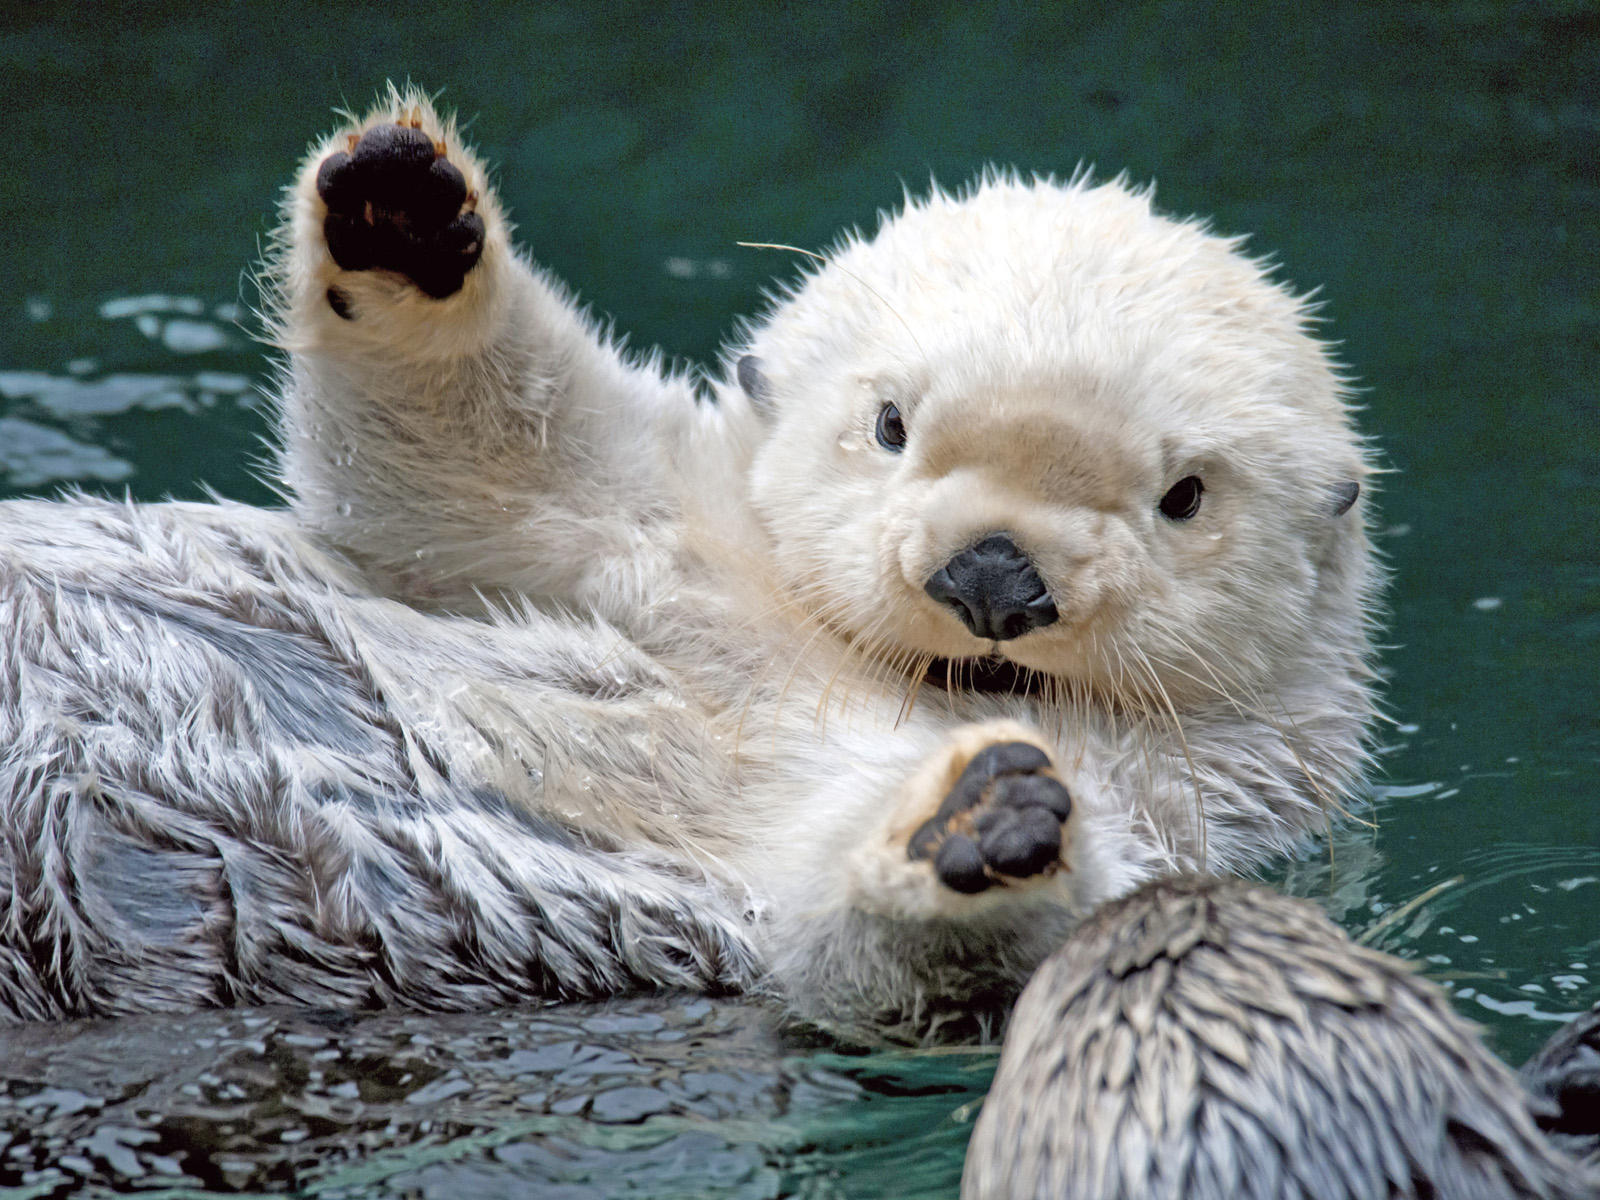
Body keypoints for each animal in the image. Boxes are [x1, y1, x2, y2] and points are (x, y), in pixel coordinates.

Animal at [0, 86, 1376, 1043]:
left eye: (1183, 498)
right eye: (891, 425)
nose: (992, 578)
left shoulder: (1178, 809)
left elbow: (861, 939)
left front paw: (977, 823)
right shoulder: (657, 534)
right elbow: (467, 464)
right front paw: (402, 216)